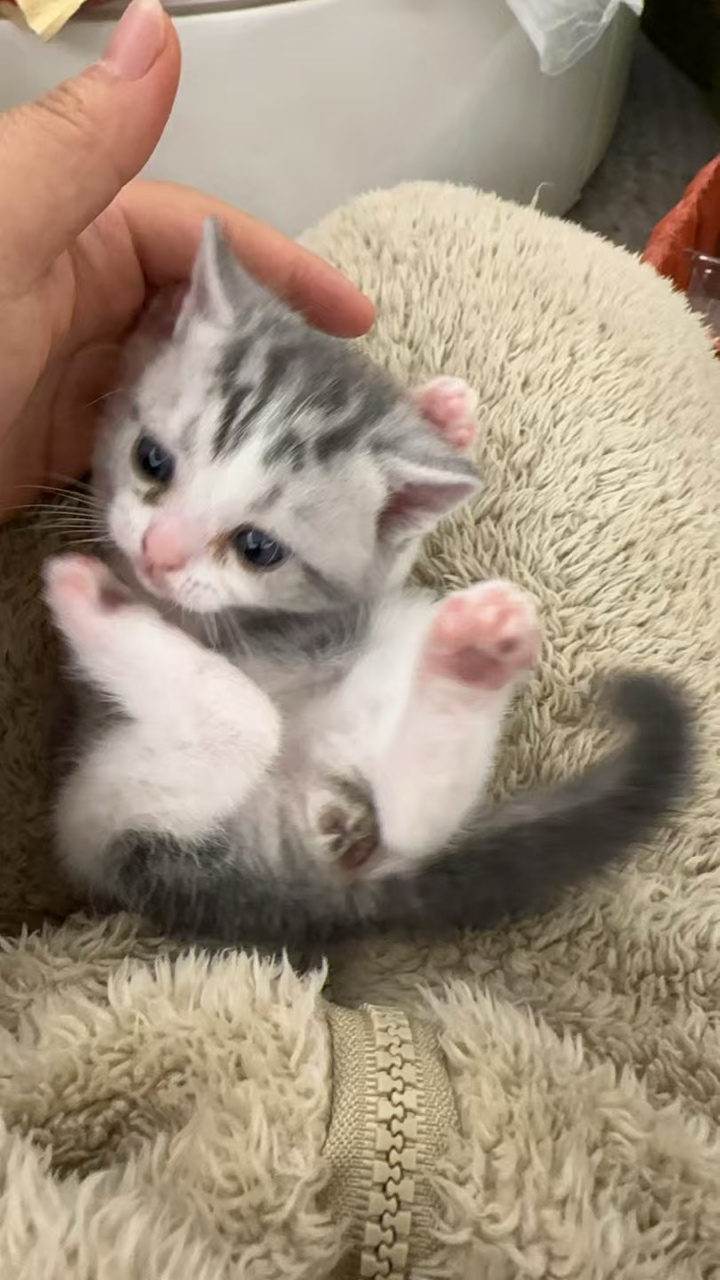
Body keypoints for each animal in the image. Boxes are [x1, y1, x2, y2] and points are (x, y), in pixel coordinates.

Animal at [44, 220, 692, 953]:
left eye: (257, 548)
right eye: (150, 460)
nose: (158, 554)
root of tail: (316, 878)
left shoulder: (357, 588)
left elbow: (386, 560)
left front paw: (443, 415)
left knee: (402, 813)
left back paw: (475, 654)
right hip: (105, 822)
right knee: (255, 732)